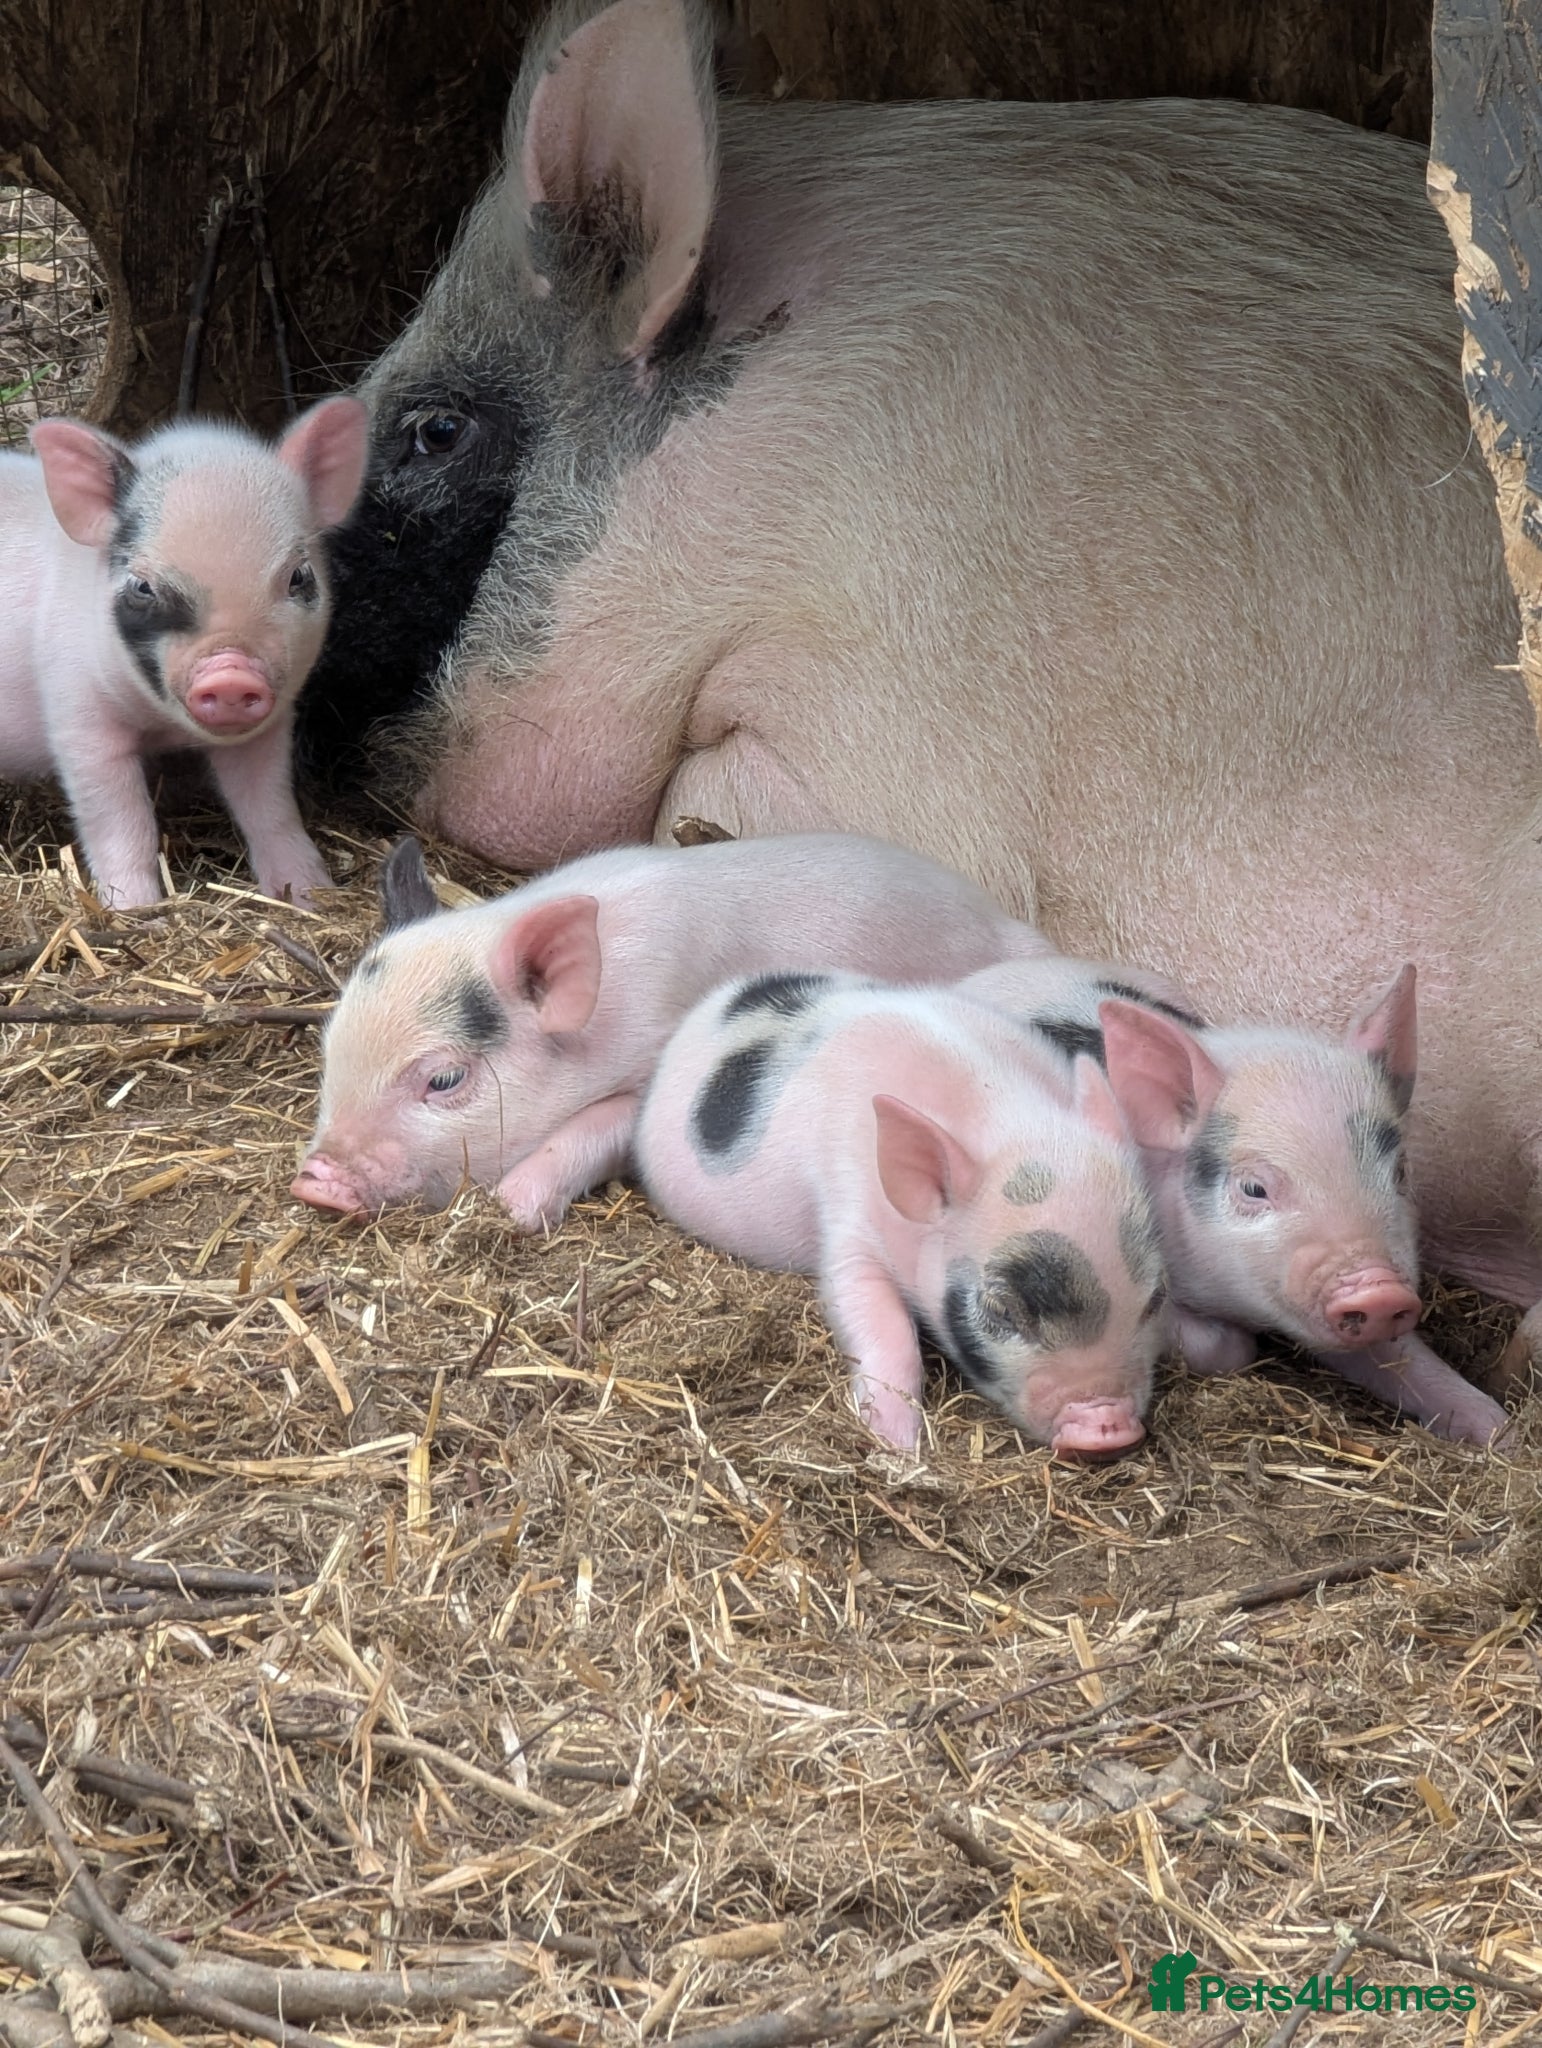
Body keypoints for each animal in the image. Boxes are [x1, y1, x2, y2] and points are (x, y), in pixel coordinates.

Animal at [0, 399, 367, 907]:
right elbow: (121, 823)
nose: (231, 674)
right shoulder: (79, 719)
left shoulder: (267, 730)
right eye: (142, 586)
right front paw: (135, 910)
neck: (163, 726)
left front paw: (309, 895)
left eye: (299, 576)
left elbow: (271, 807)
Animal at [634, 972, 1168, 1454]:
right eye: (1002, 1309)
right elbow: (877, 1320)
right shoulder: (847, 1211)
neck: (1002, 1116)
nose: (1106, 1428)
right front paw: (897, 1447)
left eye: (1155, 1299)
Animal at [958, 955, 1510, 1443]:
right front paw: (1245, 1346)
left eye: (1399, 1172)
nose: (1378, 1291)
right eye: (1253, 1188)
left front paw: (1497, 1430)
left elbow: (1400, 1359)